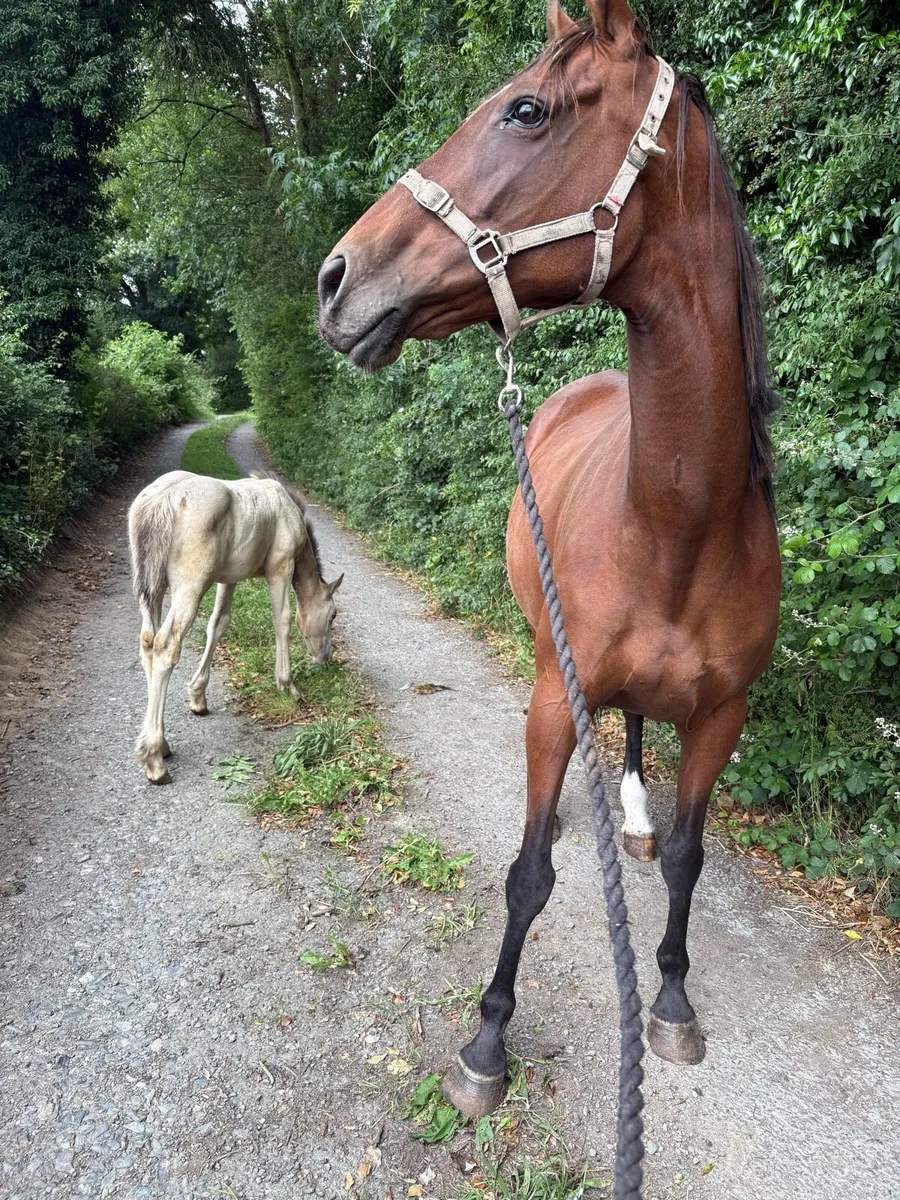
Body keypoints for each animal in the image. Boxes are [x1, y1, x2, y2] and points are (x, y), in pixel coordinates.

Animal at [128, 470, 343, 784]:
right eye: (332, 615)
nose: (325, 658)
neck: (285, 508)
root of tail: (160, 500)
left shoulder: (227, 579)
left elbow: (218, 624)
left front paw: (198, 696)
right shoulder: (280, 569)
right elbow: (282, 620)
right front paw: (288, 685)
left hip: (152, 591)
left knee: (147, 643)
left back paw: (161, 743)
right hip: (189, 588)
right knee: (165, 646)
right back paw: (153, 757)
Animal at [318, 0, 781, 1120]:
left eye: (525, 110)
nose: (335, 278)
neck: (677, 527)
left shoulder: (724, 715)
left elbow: (691, 859)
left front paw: (671, 998)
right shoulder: (550, 696)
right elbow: (526, 874)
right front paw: (487, 1040)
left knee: (638, 740)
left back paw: (632, 818)